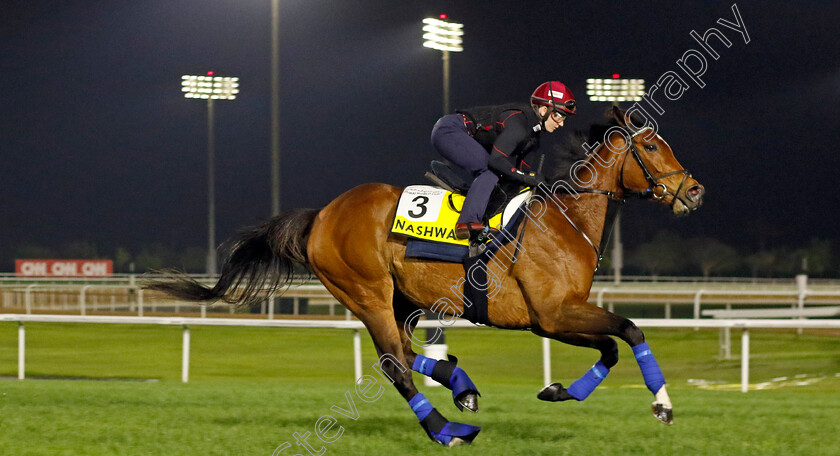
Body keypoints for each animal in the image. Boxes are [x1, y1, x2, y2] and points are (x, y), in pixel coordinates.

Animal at [146, 106, 704, 446]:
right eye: (651, 148)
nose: (694, 191)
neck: (565, 221)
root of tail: (321, 215)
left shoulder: (557, 317)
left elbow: (611, 346)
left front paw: (557, 390)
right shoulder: (551, 314)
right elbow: (629, 331)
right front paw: (663, 405)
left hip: (404, 300)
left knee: (408, 353)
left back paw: (461, 385)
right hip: (367, 293)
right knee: (394, 364)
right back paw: (445, 428)